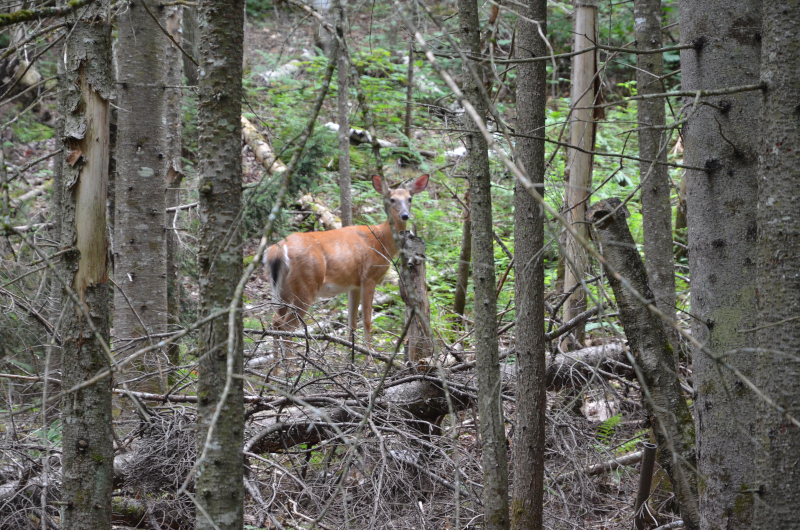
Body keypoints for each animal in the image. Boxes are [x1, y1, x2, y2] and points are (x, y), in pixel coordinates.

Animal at [268, 172, 432, 346]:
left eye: (410, 198)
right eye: (392, 199)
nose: (405, 215)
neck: (382, 241)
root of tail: (276, 250)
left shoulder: (354, 284)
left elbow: (351, 324)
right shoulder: (369, 277)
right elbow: (366, 322)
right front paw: (369, 354)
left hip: (283, 289)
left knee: (276, 322)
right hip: (306, 285)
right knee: (288, 327)